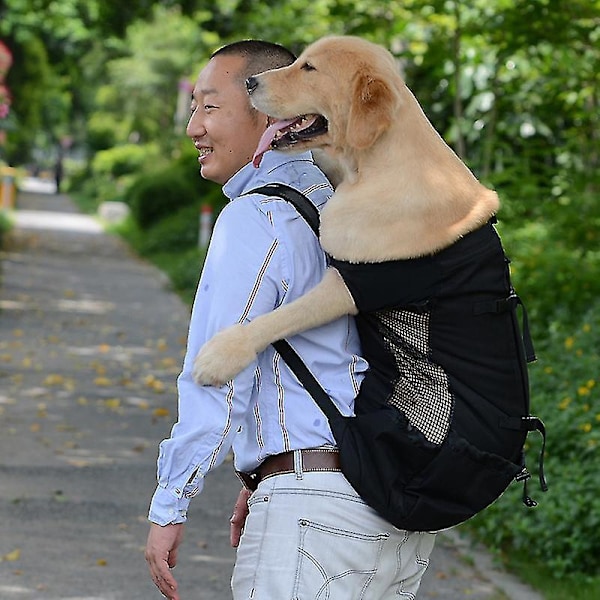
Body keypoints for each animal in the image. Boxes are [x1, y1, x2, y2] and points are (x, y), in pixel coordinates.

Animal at [193, 36, 502, 390]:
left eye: (309, 68)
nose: (250, 83)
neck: (370, 166)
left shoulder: (352, 282)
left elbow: (285, 316)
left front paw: (222, 354)